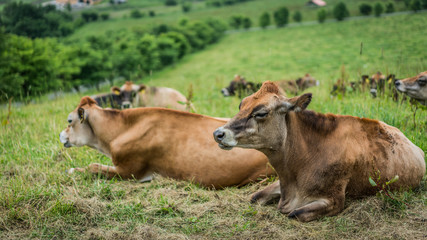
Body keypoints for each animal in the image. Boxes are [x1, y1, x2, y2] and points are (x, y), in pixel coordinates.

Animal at [216, 81, 426, 222]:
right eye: (241, 105)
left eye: (260, 113)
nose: (218, 133)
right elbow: (254, 197)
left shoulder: (334, 200)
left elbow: (295, 214)